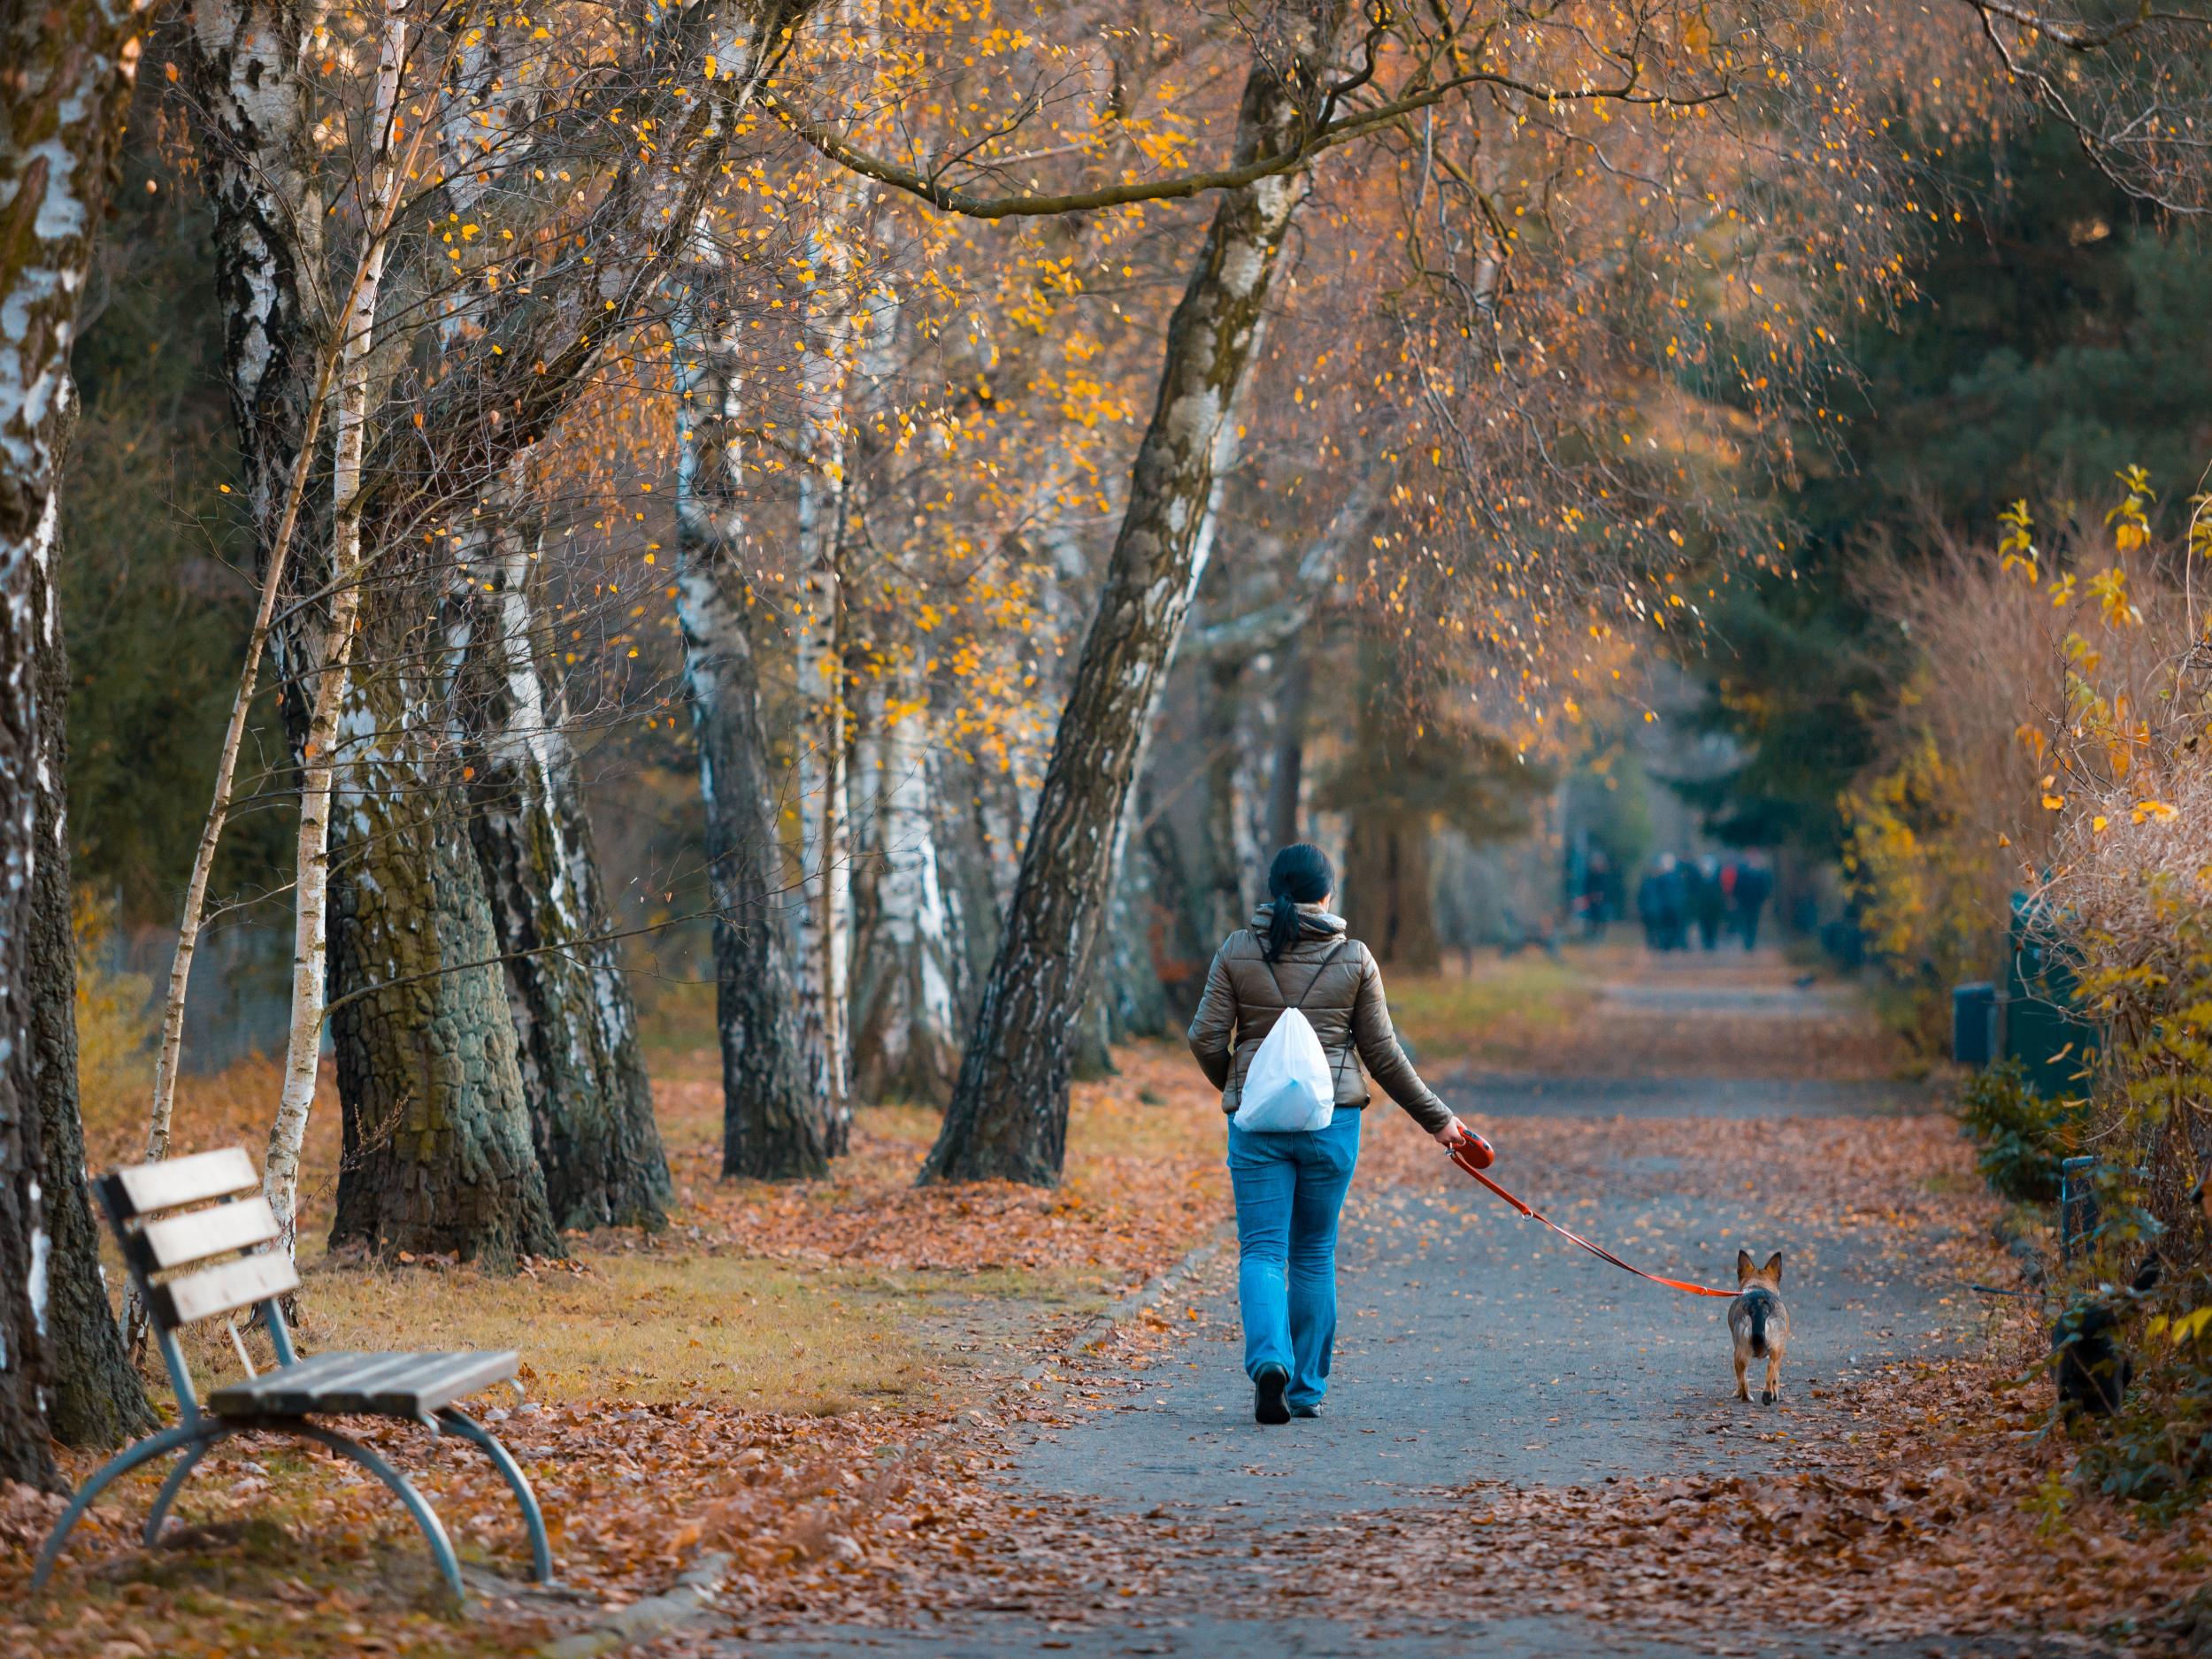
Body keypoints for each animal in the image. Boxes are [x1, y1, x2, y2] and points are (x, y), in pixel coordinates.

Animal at [1734, 1256, 1787, 1407]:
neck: (1758, 1285)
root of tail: (1758, 1306)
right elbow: (1776, 1376)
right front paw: (1775, 1395)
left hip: (1740, 1352)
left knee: (1744, 1376)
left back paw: (1749, 1397)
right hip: (1775, 1349)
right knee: (1770, 1368)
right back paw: (1766, 1395)